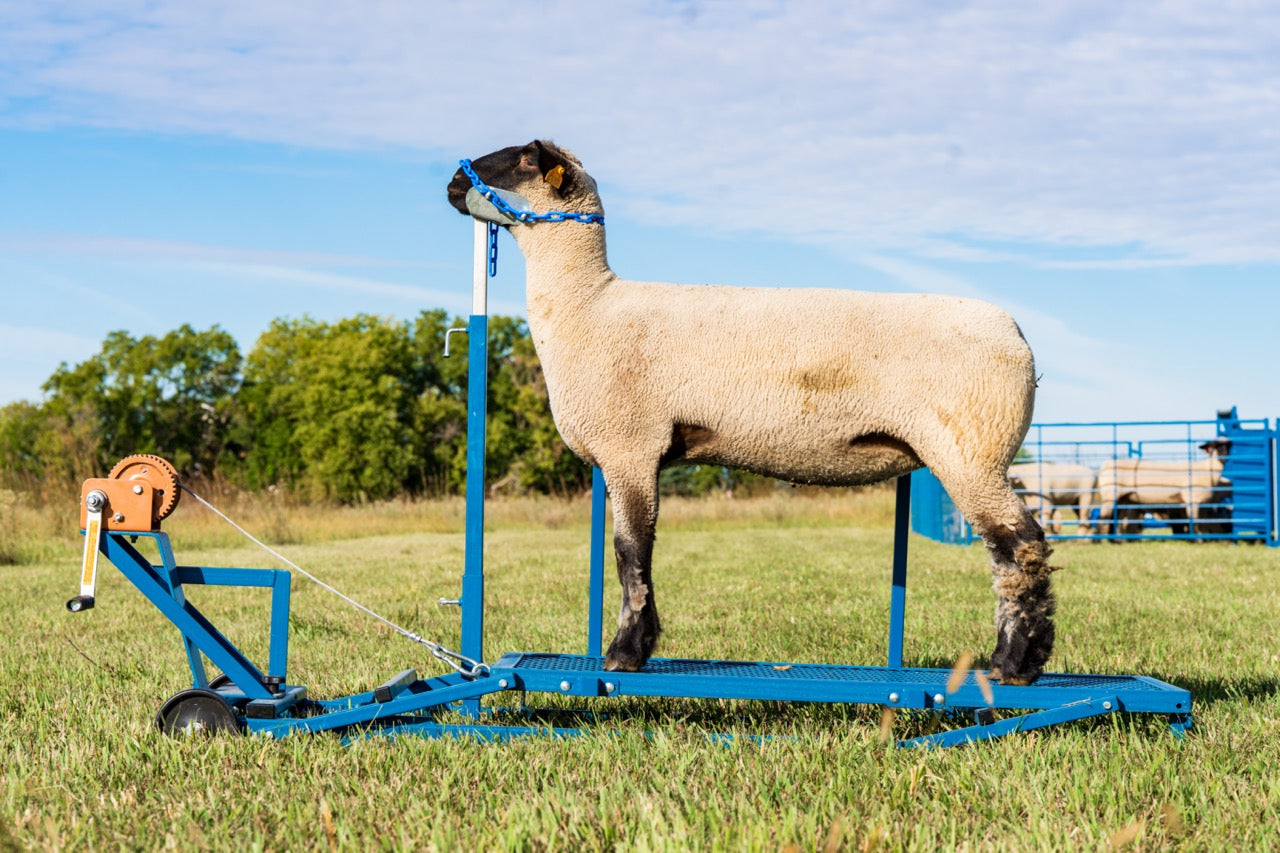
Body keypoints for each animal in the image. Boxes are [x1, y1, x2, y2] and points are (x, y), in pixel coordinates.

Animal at [447, 140, 1059, 685]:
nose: (453, 181)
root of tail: (1017, 335)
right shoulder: (632, 451)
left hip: (971, 448)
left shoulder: (631, 447)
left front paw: (625, 654)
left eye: (523, 158)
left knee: (1019, 547)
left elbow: (630, 553)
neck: (586, 306)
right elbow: (634, 552)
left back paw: (1012, 665)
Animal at [1094, 440, 1231, 538]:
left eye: (1229, 446)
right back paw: (1100, 541)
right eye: (1215, 446)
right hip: (1110, 496)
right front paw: (1197, 540)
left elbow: (1197, 522)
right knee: (1103, 518)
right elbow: (1194, 522)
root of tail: (1105, 465)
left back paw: (1113, 541)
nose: (1224, 457)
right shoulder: (1192, 500)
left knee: (1112, 518)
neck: (1205, 469)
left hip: (1122, 498)